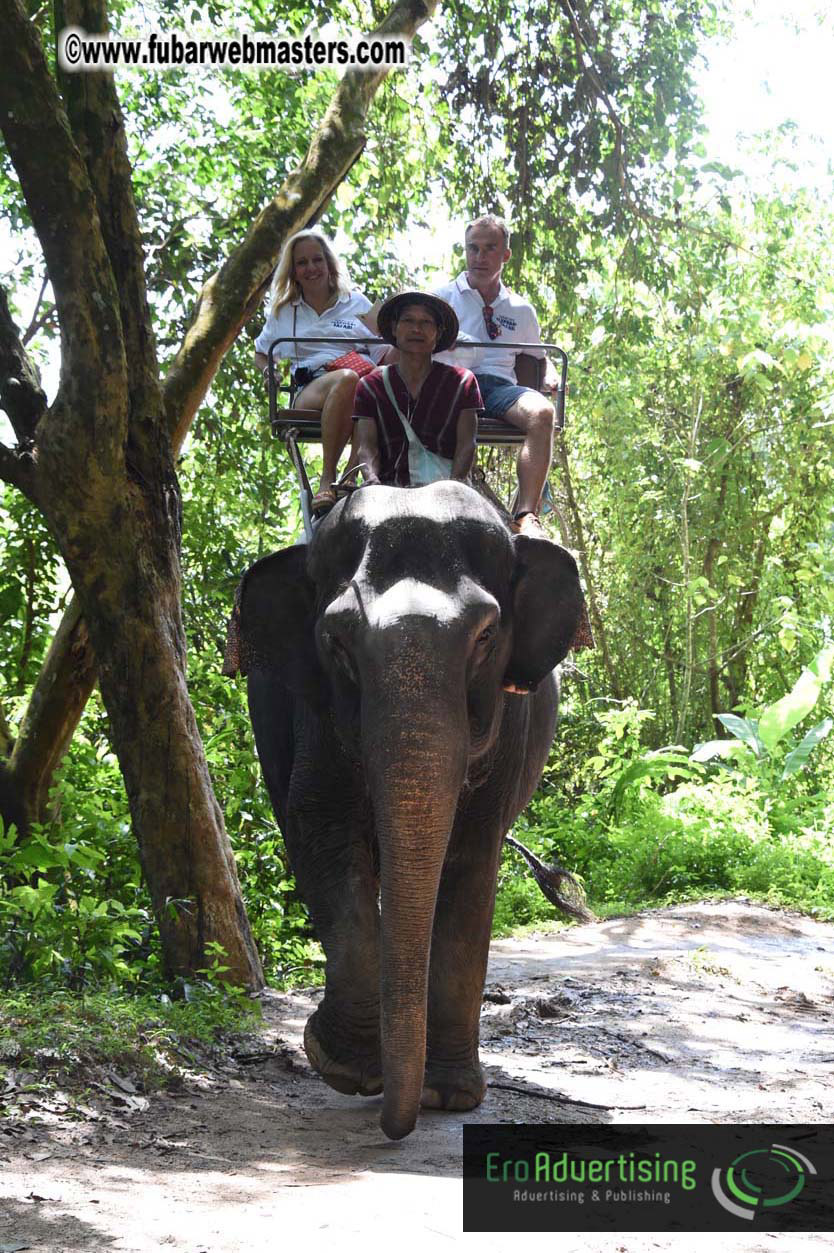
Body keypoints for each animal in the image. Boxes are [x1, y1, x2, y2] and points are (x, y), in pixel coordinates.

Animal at [224, 480, 587, 1140]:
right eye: (336, 642)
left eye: (486, 637)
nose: (399, 1127)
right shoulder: (313, 713)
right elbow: (320, 830)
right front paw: (344, 1068)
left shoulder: (510, 726)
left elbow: (471, 859)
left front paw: (449, 1096)